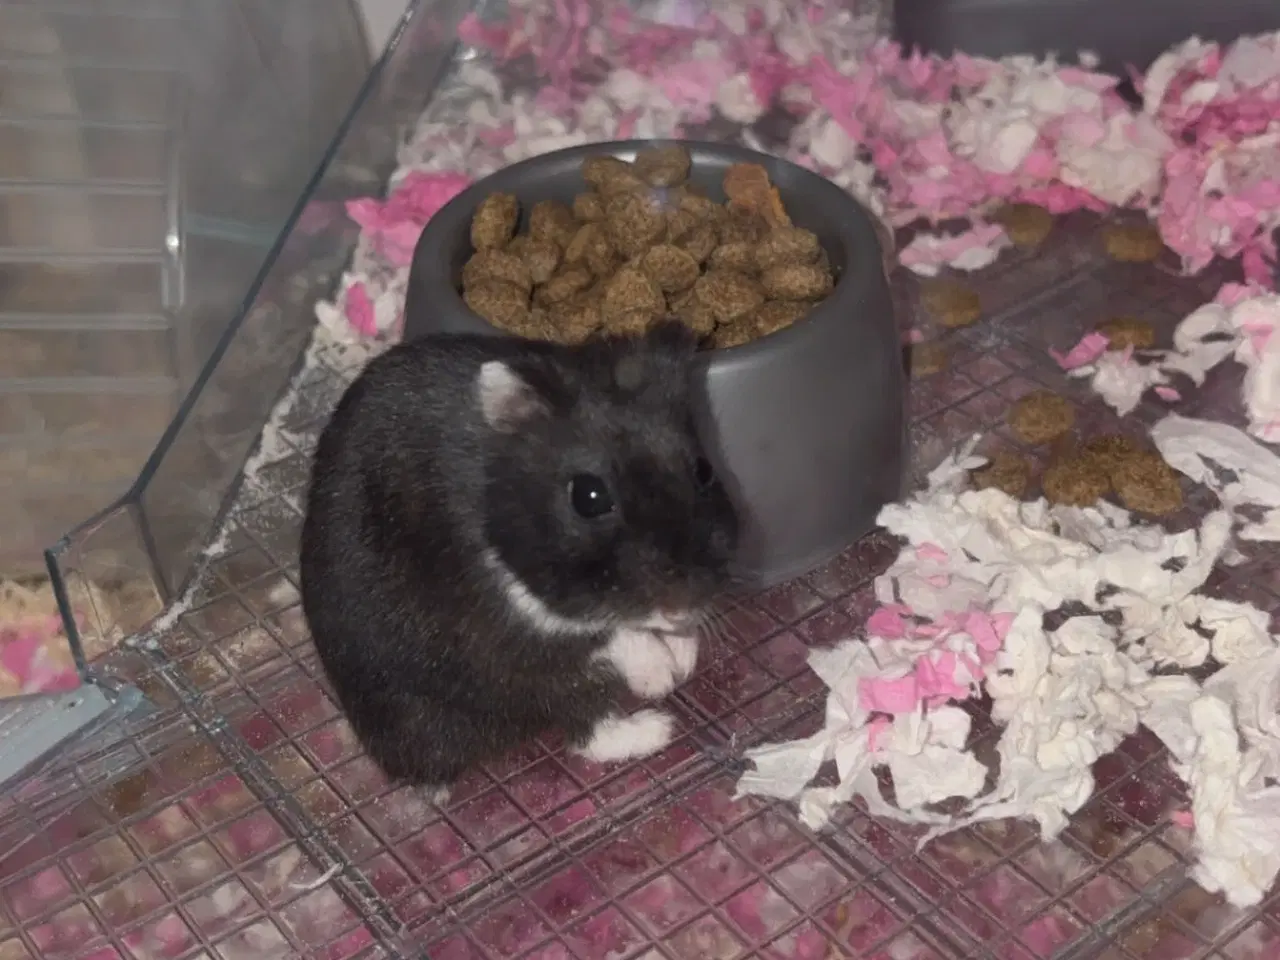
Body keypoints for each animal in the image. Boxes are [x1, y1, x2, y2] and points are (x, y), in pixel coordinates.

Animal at [299, 319, 739, 790]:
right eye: (588, 496)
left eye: (704, 470)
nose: (684, 606)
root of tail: (391, 760)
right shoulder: (514, 623)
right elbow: (610, 634)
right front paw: (660, 676)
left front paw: (681, 654)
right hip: (516, 688)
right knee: (588, 732)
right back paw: (659, 725)